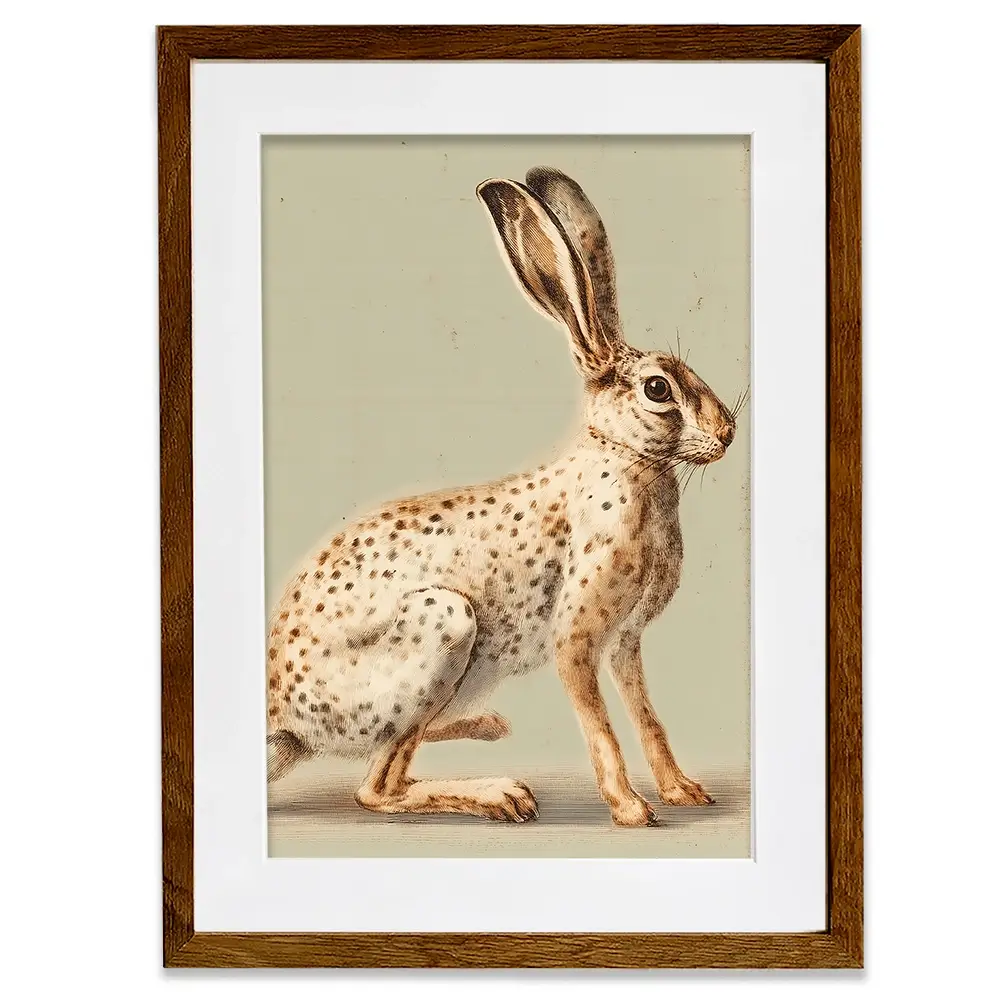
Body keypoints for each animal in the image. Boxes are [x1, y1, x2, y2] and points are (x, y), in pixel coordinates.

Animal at [266, 166, 737, 827]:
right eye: (657, 390)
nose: (728, 433)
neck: (626, 461)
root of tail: (280, 718)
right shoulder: (576, 639)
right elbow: (602, 730)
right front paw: (631, 810)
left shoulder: (625, 642)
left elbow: (647, 717)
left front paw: (682, 791)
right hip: (444, 628)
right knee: (377, 788)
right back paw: (502, 794)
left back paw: (489, 728)